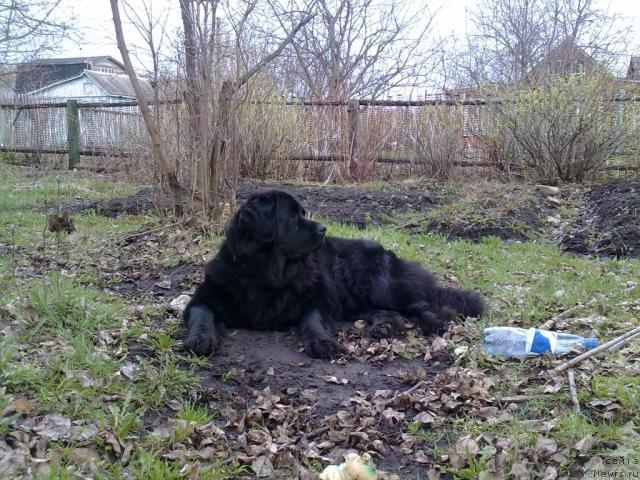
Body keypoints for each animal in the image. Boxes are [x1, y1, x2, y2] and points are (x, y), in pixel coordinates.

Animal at [182, 189, 482, 358]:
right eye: (293, 217)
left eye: (303, 213)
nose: (323, 229)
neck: (268, 273)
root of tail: (388, 252)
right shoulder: (205, 297)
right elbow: (202, 314)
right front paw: (200, 339)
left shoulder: (318, 300)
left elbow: (312, 319)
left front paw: (321, 342)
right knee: (388, 312)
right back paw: (383, 326)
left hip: (371, 282)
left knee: (420, 304)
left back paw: (435, 321)